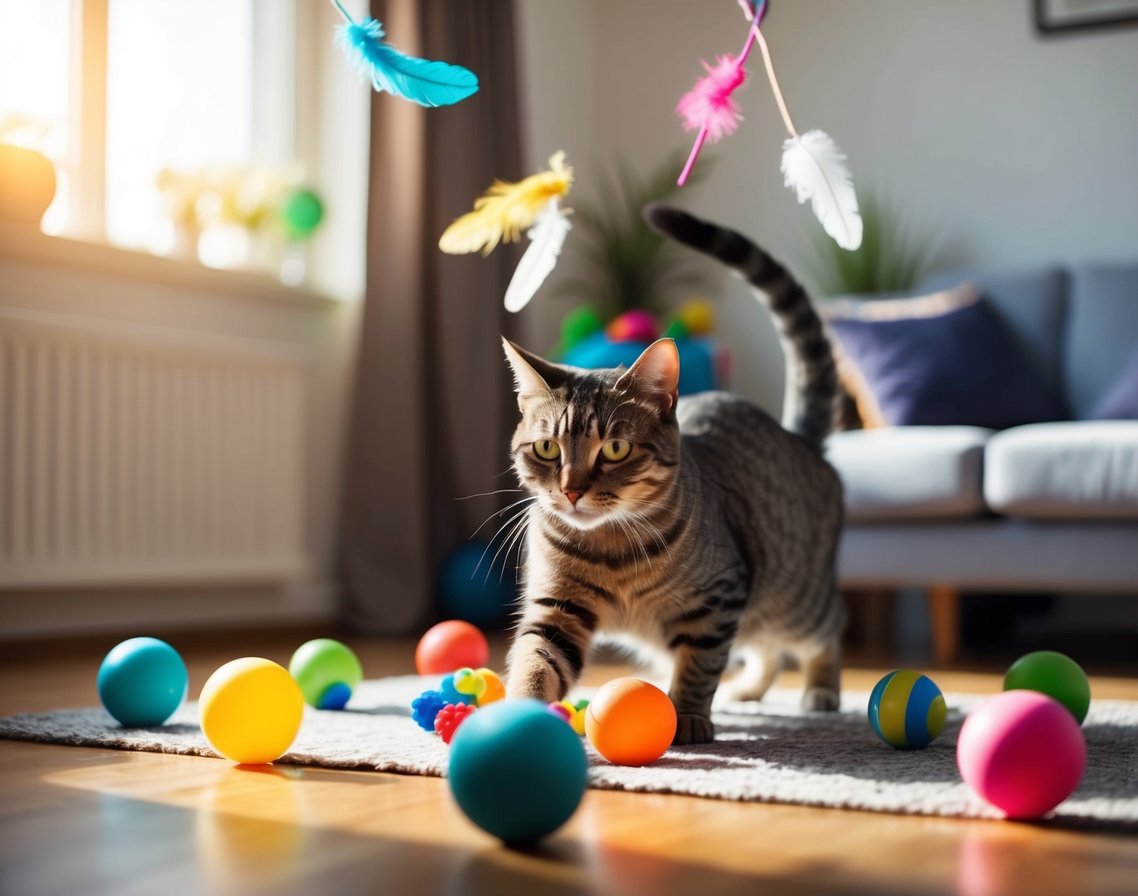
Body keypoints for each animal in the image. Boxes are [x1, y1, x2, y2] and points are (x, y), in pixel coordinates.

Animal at [500, 203, 846, 742]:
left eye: (615, 448)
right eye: (547, 447)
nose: (572, 491)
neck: (611, 548)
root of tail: (798, 436)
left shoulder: (719, 599)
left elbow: (699, 664)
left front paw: (687, 715)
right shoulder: (557, 607)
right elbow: (536, 661)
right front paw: (520, 718)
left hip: (794, 597)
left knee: (826, 629)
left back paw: (821, 689)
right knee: (765, 649)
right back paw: (748, 689)